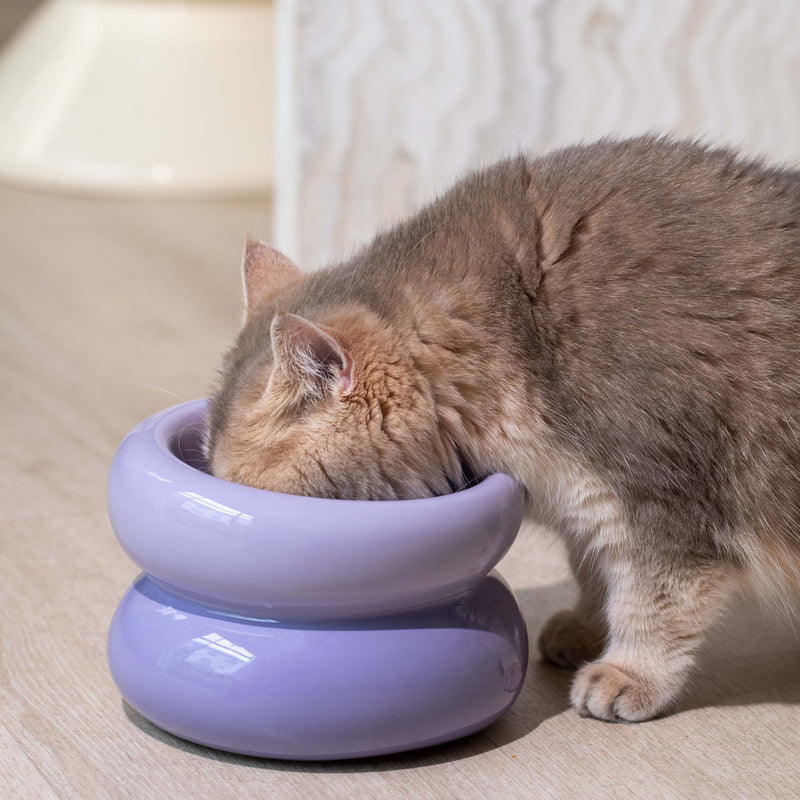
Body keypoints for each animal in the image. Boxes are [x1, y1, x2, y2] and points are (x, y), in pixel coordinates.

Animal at [205, 139, 800, 724]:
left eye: (239, 483)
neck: (519, 326)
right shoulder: (587, 504)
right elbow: (594, 571)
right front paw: (584, 628)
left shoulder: (661, 505)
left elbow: (652, 602)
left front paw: (629, 673)